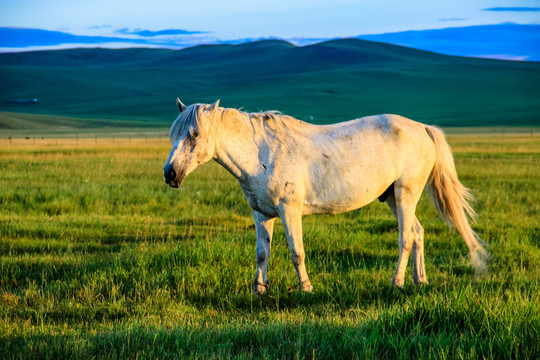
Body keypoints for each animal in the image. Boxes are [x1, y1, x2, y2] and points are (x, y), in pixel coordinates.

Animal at [162, 99, 488, 296]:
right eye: (173, 135)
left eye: (194, 134)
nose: (170, 173)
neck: (262, 153)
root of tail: (422, 127)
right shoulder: (261, 213)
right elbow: (261, 253)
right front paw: (259, 291)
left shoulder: (289, 211)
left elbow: (296, 252)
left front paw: (305, 288)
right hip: (393, 197)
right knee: (418, 232)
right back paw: (420, 281)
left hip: (406, 192)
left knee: (406, 237)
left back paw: (396, 283)